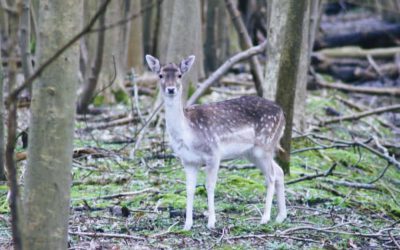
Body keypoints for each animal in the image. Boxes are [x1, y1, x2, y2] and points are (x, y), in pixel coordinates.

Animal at [145, 54, 286, 230]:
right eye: (160, 75)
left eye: (179, 75)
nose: (171, 89)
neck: (188, 134)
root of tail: (283, 114)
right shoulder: (188, 160)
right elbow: (189, 189)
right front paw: (187, 225)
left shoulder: (213, 153)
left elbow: (209, 185)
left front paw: (211, 222)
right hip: (252, 153)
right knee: (280, 171)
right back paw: (280, 217)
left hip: (265, 144)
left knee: (271, 176)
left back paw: (265, 218)